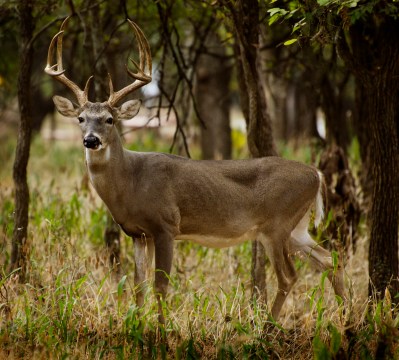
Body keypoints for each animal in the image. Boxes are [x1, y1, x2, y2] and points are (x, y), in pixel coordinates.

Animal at [45, 18, 346, 324]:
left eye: (109, 119)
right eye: (81, 118)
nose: (90, 140)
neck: (130, 182)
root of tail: (316, 174)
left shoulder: (166, 224)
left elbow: (161, 285)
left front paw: (161, 330)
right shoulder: (138, 234)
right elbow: (139, 286)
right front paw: (136, 326)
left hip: (277, 224)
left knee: (289, 276)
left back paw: (269, 327)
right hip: (297, 228)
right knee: (331, 259)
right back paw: (346, 318)